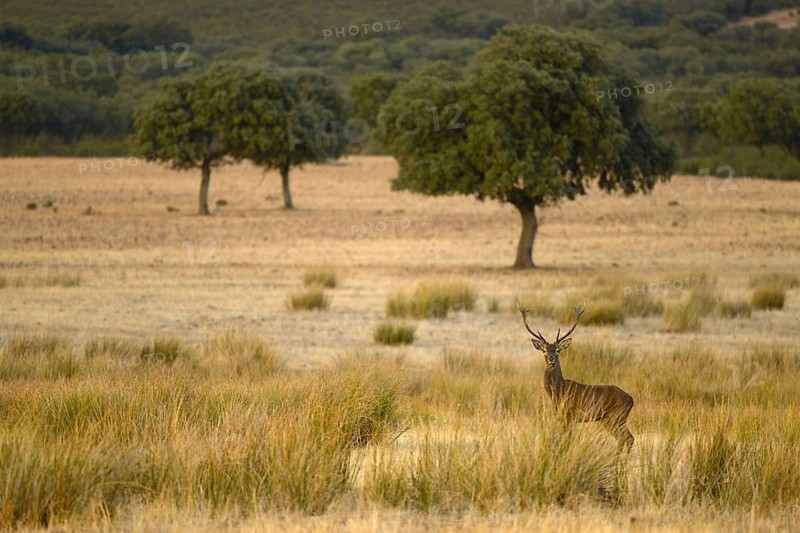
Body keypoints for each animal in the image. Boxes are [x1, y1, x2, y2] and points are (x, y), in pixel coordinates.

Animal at [516, 302, 635, 451]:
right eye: (544, 350)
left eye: (558, 350)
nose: (551, 359)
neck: (558, 392)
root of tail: (631, 400)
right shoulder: (562, 417)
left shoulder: (570, 415)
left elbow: (568, 439)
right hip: (608, 419)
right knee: (625, 438)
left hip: (617, 417)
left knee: (628, 438)